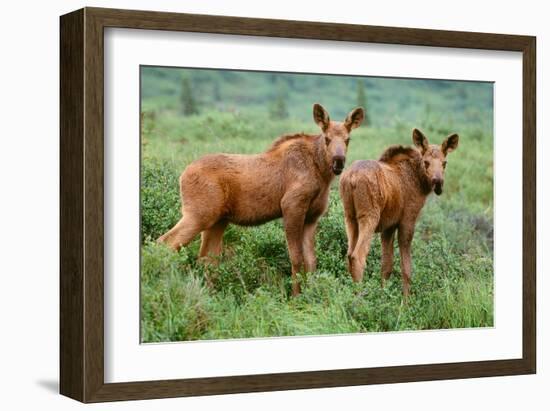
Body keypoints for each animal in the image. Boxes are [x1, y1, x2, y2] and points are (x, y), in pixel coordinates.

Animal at [160, 103, 366, 296]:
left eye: (348, 139)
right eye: (327, 138)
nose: (338, 161)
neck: (321, 174)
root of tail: (182, 175)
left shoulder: (312, 217)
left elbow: (311, 260)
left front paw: (311, 295)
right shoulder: (291, 207)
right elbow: (296, 257)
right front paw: (295, 297)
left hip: (217, 221)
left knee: (207, 259)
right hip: (199, 214)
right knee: (166, 243)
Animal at [340, 129, 462, 300]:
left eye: (445, 163)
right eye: (426, 162)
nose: (438, 183)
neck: (420, 182)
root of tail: (351, 178)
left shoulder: (388, 226)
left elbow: (387, 266)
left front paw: (384, 295)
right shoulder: (407, 220)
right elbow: (407, 268)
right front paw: (405, 302)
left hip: (349, 217)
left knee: (348, 255)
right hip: (369, 216)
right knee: (357, 256)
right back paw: (359, 298)